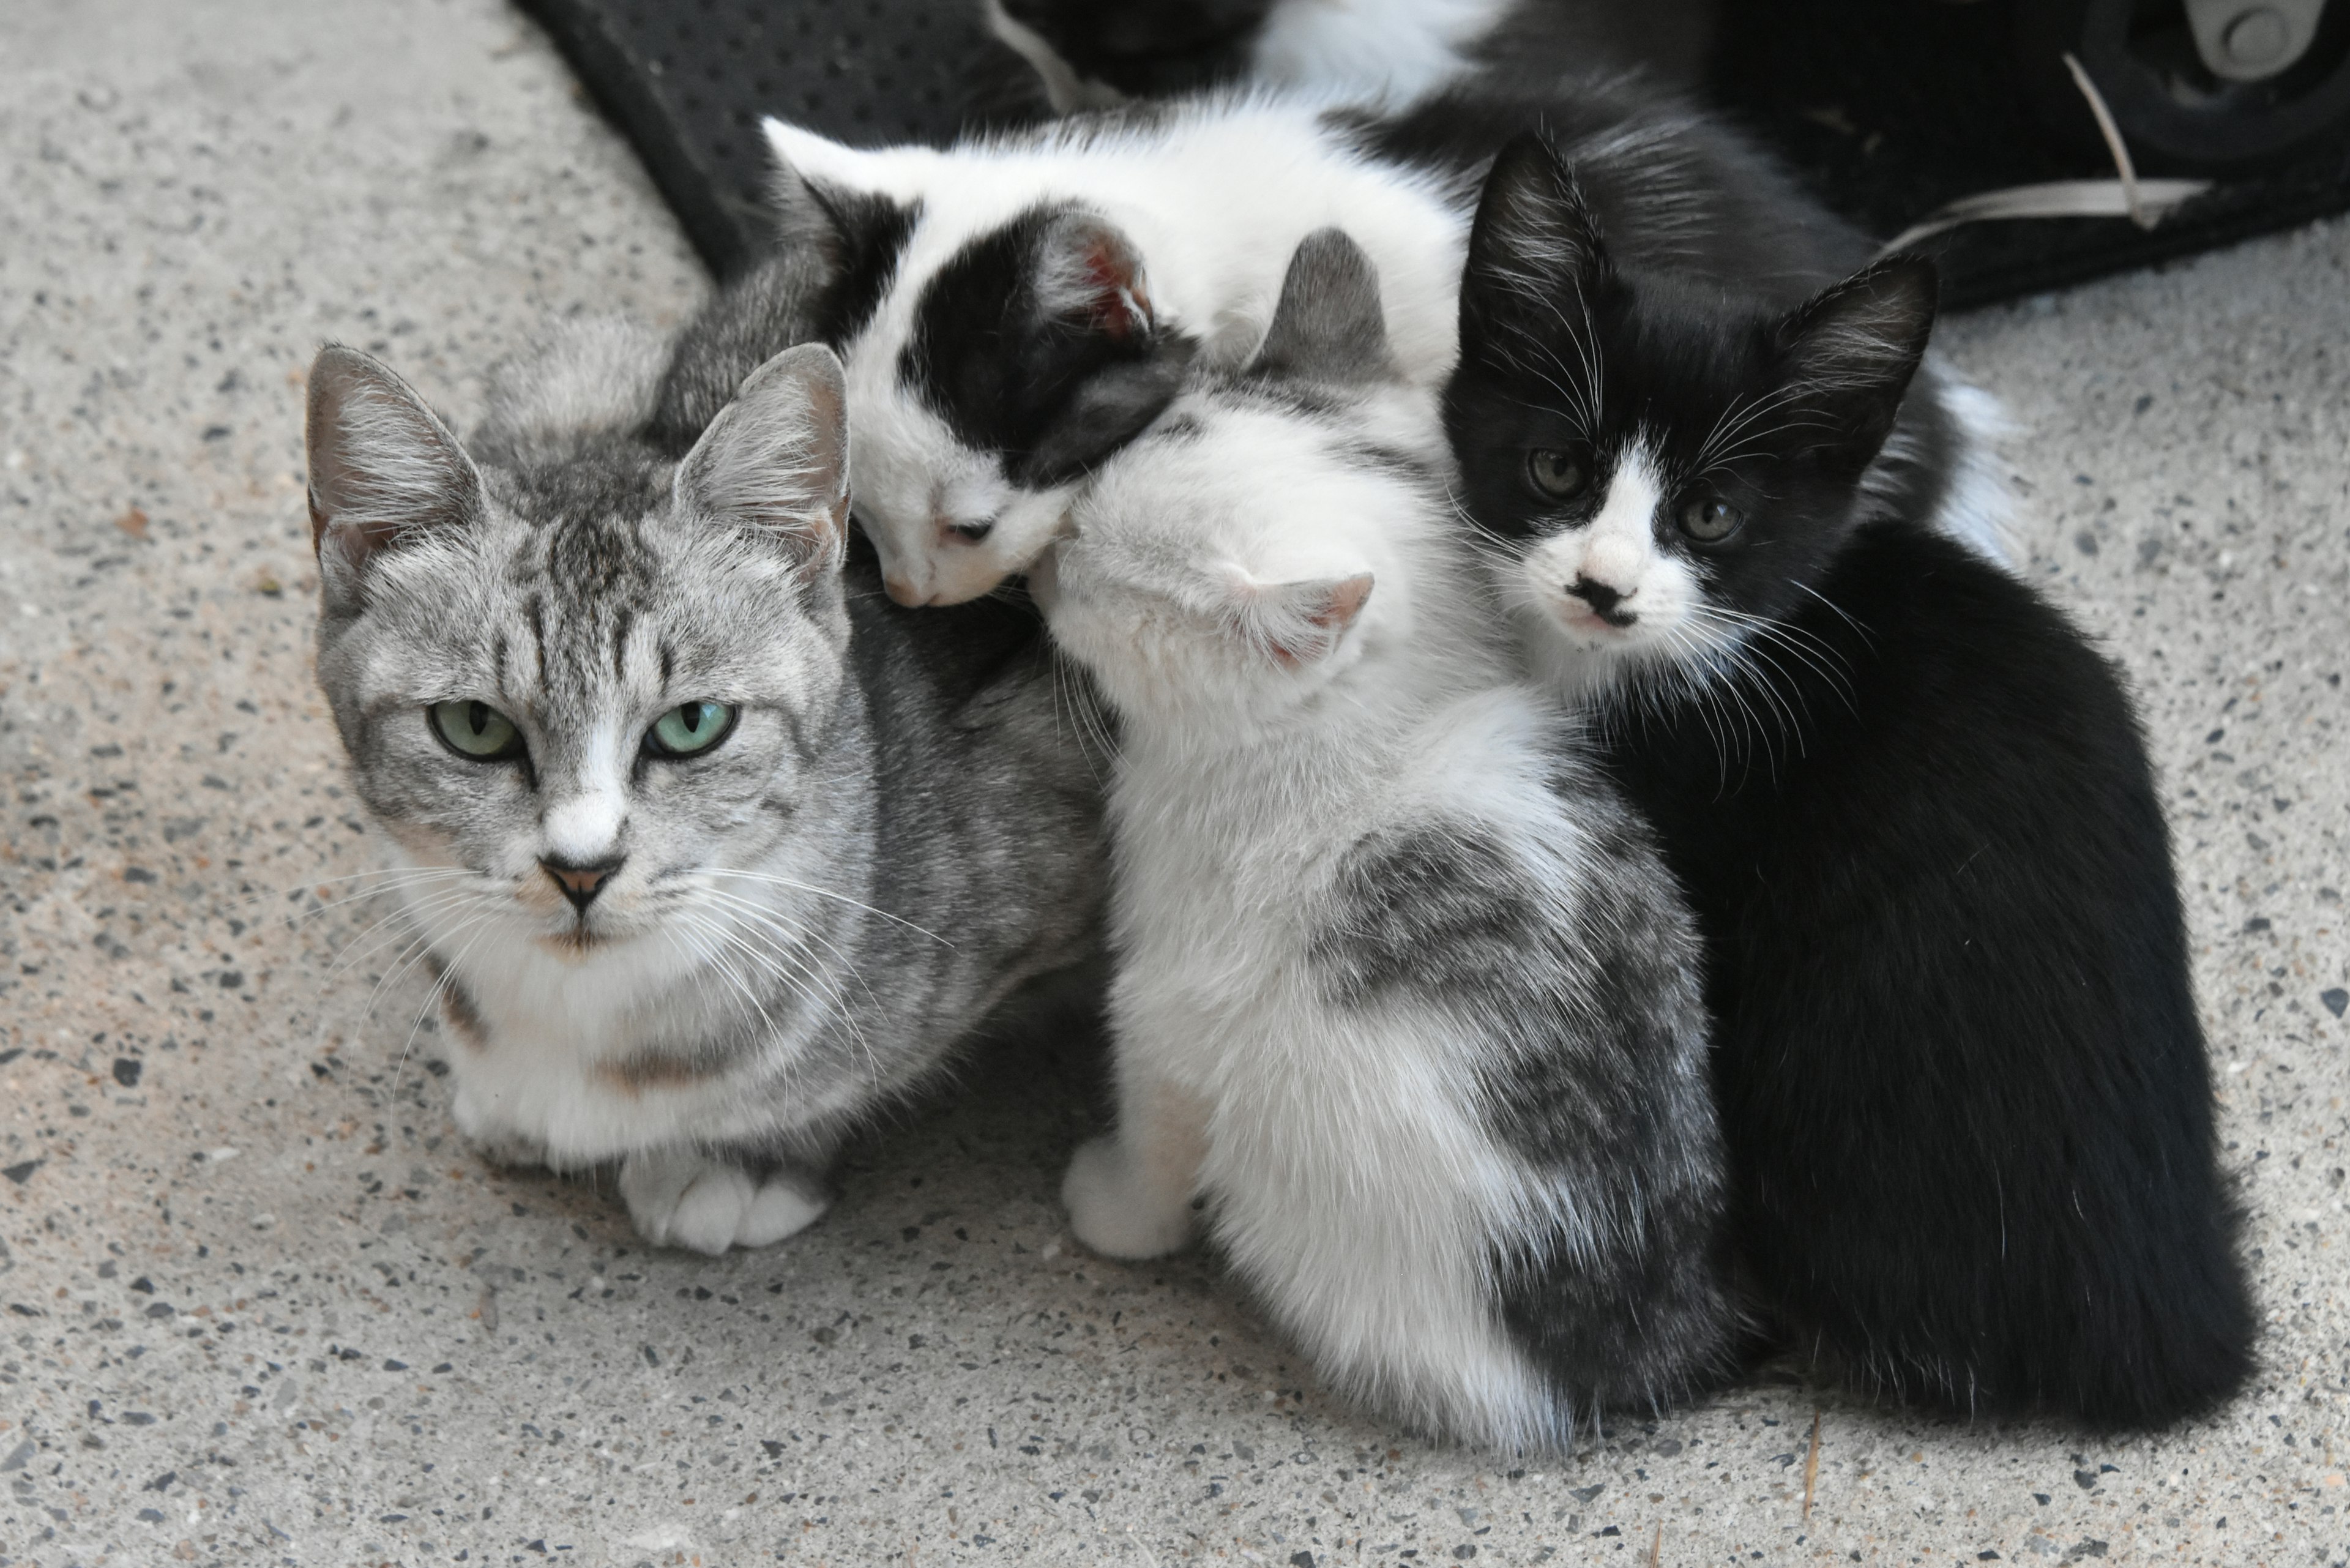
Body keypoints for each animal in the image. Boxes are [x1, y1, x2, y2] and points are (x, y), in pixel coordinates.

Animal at [1039, 230, 1739, 1448]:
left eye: (1108, 583)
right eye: (1081, 513)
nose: (1042, 568)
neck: (1390, 711)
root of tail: (1636, 1354)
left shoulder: (1171, 992)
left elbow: (1159, 1114)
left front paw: (1115, 1208)